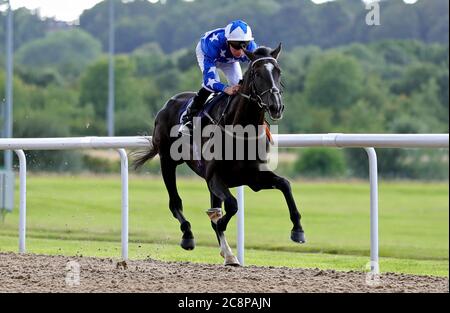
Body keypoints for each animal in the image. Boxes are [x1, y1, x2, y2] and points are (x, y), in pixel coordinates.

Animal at [131, 44, 306, 264]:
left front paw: (298, 230)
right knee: (175, 202)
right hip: (167, 161)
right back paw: (188, 235)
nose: (276, 106)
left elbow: (285, 184)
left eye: (278, 71)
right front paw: (219, 221)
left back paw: (228, 253)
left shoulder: (253, 178)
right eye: (257, 74)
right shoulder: (215, 177)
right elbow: (231, 205)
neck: (241, 132)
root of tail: (168, 104)